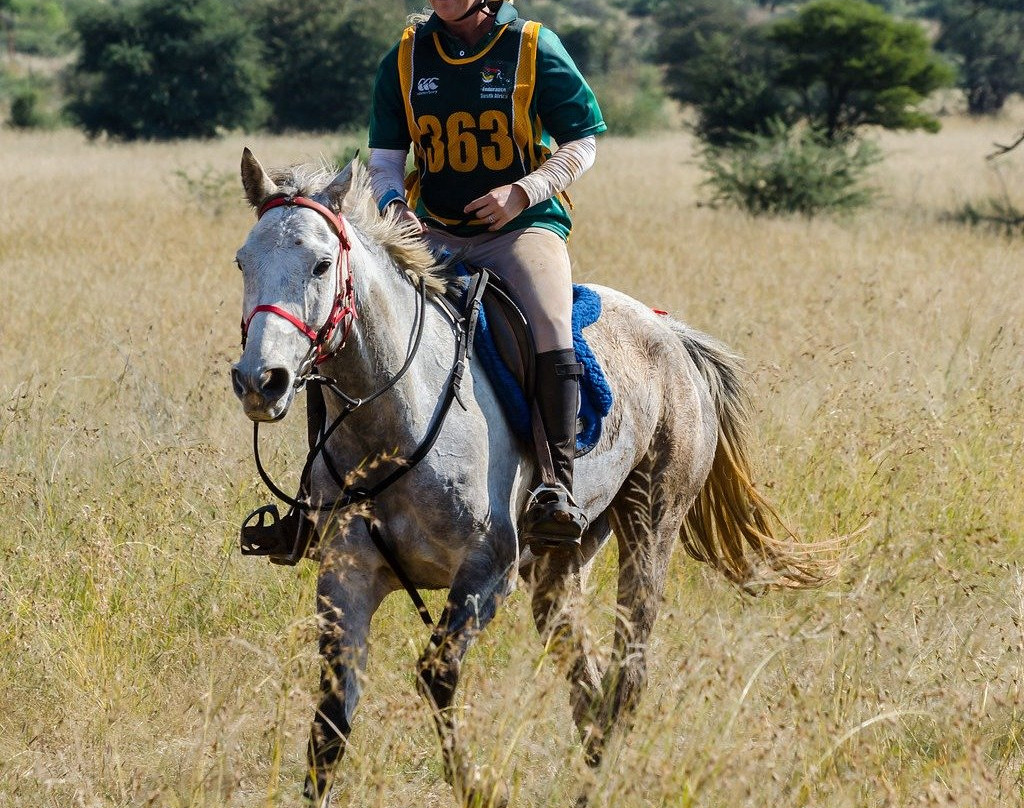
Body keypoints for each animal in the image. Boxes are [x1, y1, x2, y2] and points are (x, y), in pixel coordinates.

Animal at [229, 148, 835, 807]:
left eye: (320, 265)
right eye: (243, 262)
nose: (261, 382)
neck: (393, 420)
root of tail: (672, 335)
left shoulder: (486, 573)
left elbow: (436, 675)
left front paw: (478, 788)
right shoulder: (347, 577)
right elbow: (331, 725)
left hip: (652, 524)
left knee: (628, 672)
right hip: (561, 560)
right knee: (587, 681)